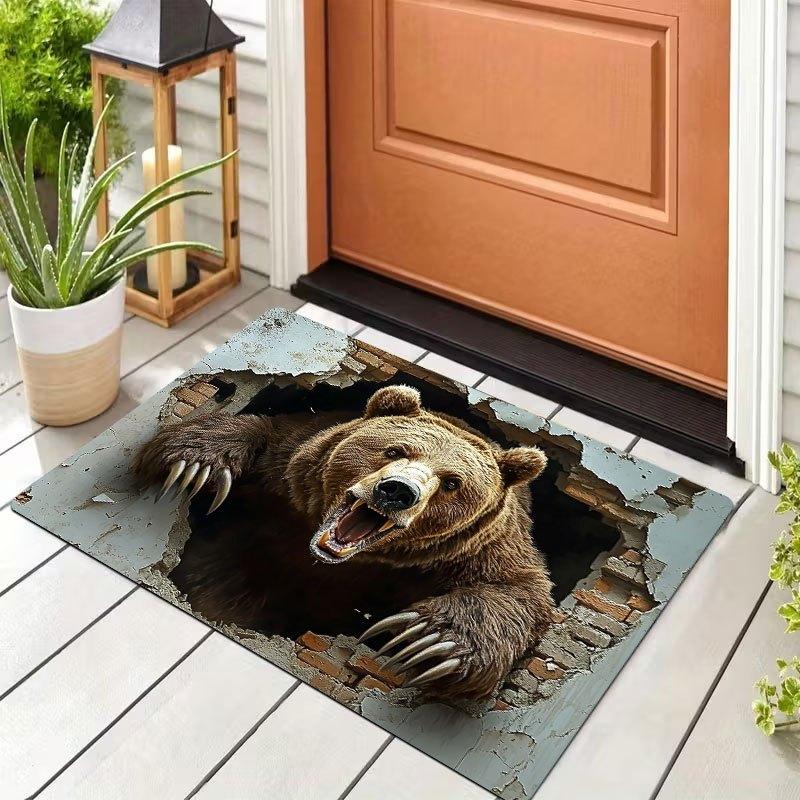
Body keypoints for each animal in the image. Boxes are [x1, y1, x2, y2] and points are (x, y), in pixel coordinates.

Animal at [134, 384, 555, 700]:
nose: (398, 491)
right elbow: (265, 432)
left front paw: (430, 640)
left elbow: (518, 591)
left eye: (452, 482)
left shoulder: (474, 553)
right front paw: (195, 464)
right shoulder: (287, 474)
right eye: (395, 449)